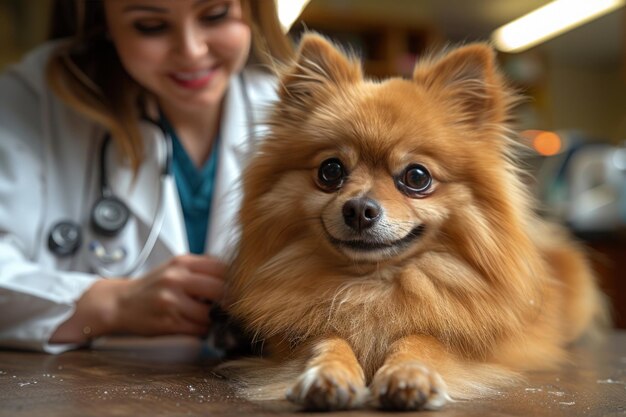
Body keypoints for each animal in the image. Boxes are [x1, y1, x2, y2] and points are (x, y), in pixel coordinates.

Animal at [219, 33, 604, 410]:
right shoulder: (301, 336)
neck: (372, 284)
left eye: (417, 177)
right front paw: (326, 373)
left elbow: (422, 340)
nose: (359, 208)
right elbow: (327, 339)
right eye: (330, 171)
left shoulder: (461, 342)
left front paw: (409, 374)